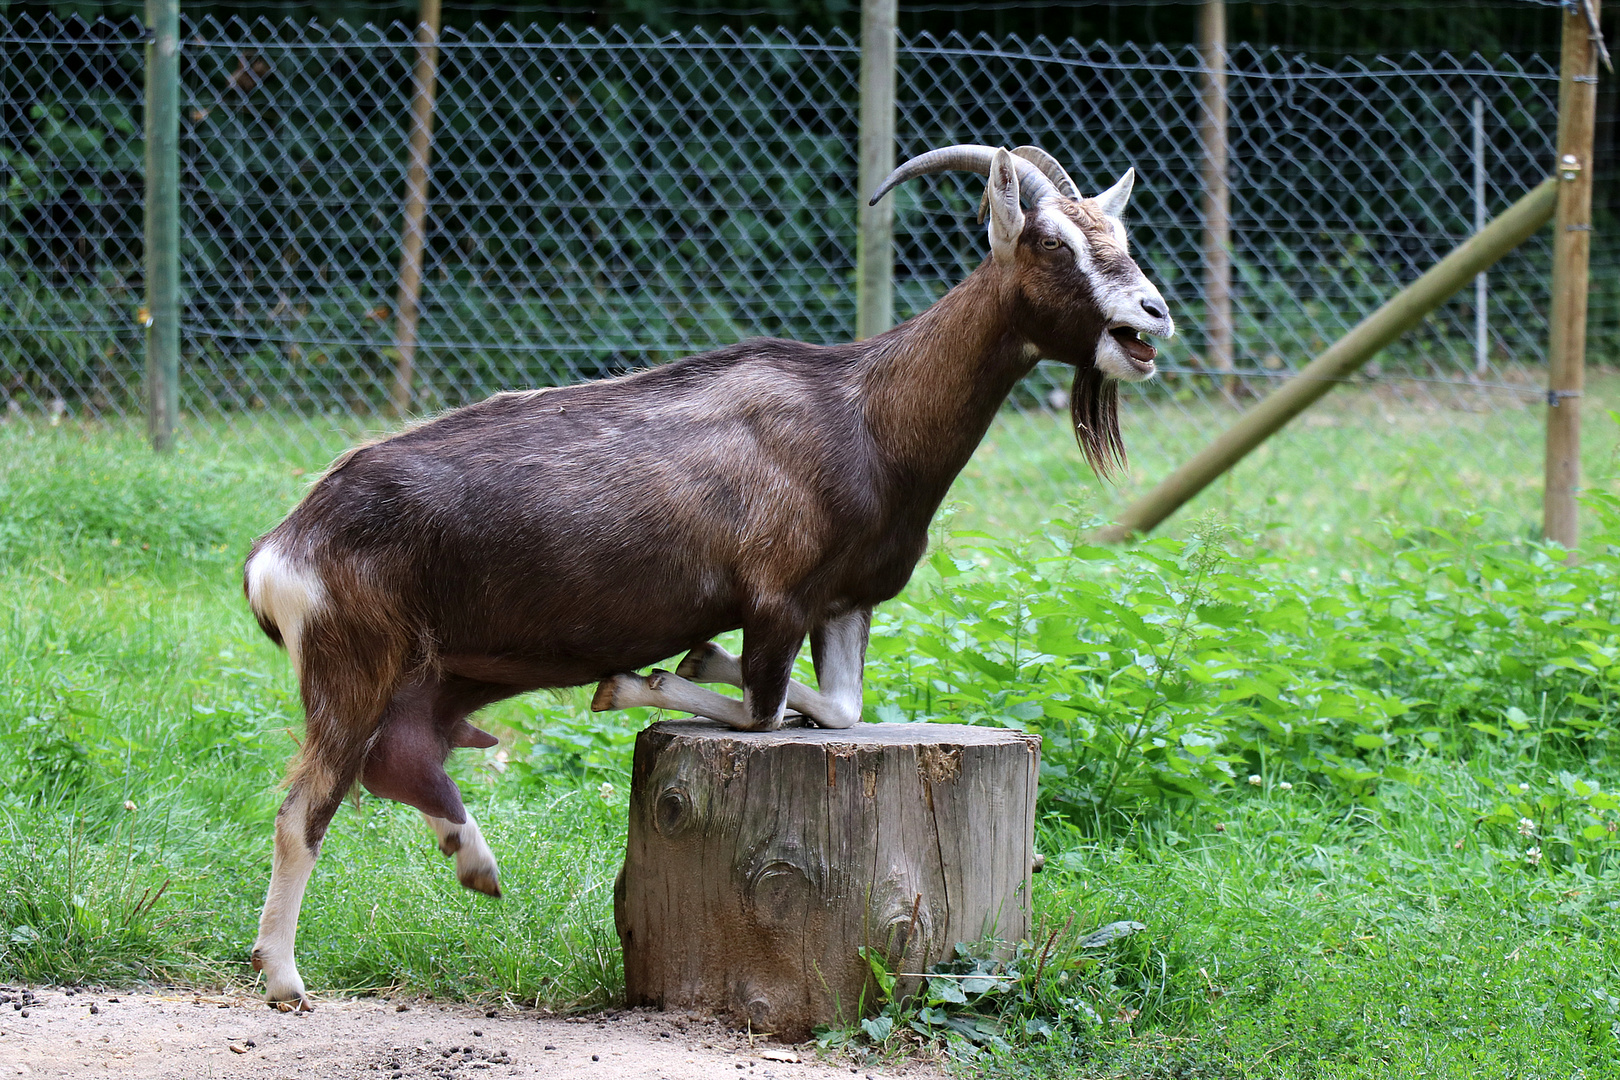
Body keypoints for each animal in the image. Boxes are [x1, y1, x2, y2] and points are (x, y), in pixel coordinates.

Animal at [246, 145, 1172, 1016]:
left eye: (1121, 236)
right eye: (1050, 241)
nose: (1152, 313)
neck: (865, 412)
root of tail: (280, 549)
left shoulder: (846, 602)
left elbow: (840, 709)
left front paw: (687, 666)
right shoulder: (778, 599)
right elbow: (763, 712)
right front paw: (643, 680)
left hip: (437, 678)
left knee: (399, 759)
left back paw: (474, 862)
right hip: (351, 668)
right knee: (305, 811)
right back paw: (286, 978)